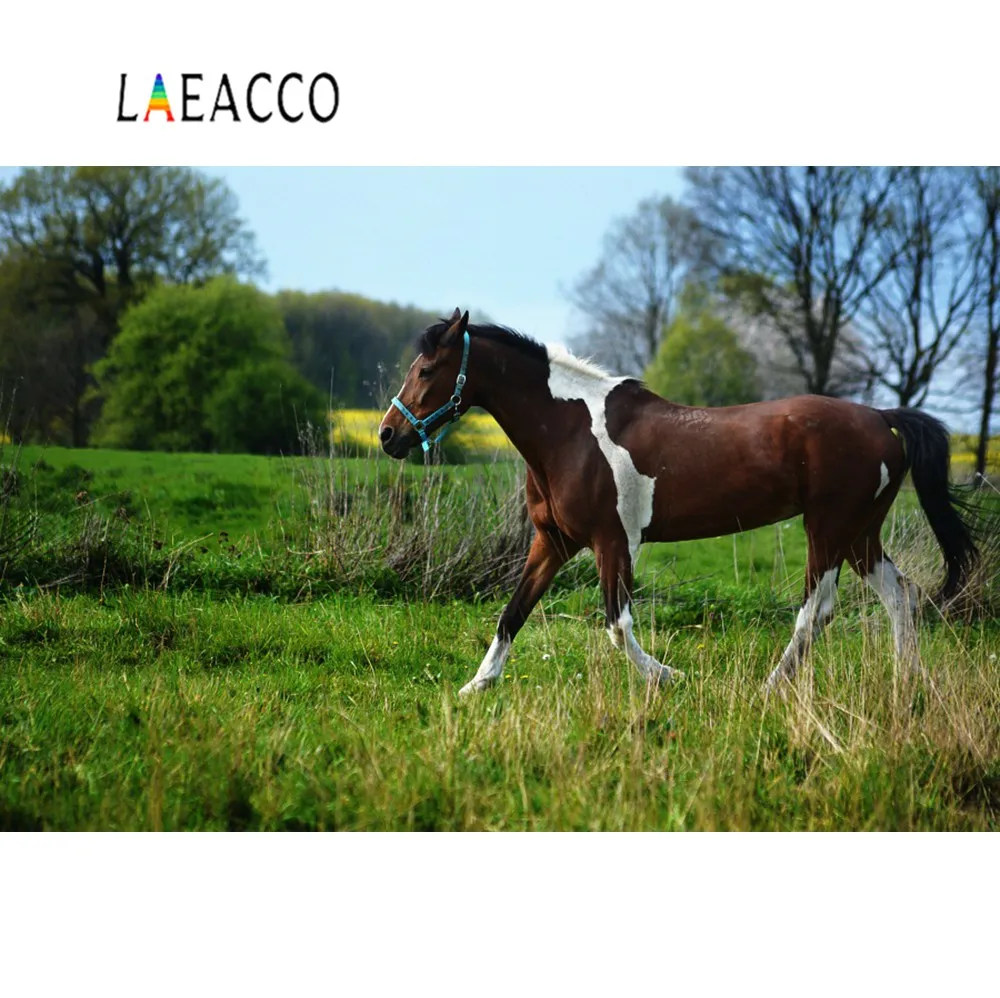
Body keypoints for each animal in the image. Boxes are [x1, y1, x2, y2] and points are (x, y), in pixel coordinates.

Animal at [378, 309, 979, 696]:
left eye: (426, 371)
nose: (388, 435)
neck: (569, 431)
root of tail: (881, 417)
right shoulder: (553, 543)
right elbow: (513, 612)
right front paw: (476, 686)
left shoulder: (613, 542)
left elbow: (617, 625)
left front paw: (669, 677)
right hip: (859, 534)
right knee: (901, 596)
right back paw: (907, 682)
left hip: (827, 530)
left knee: (818, 611)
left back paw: (771, 687)